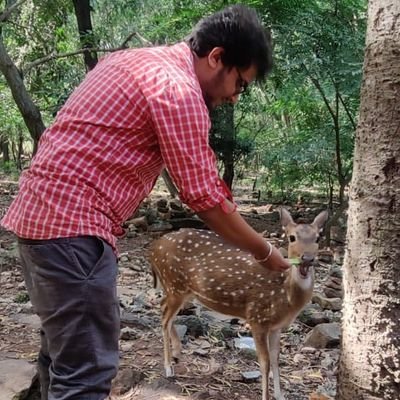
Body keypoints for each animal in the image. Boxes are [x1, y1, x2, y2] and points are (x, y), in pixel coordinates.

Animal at [149, 209, 328, 400]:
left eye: (318, 238)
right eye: (292, 237)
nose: (307, 258)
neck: (286, 297)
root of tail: (154, 247)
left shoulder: (276, 326)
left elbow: (275, 358)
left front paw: (280, 396)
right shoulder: (257, 317)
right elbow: (264, 362)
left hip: (179, 289)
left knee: (162, 306)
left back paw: (177, 353)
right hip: (175, 284)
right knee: (165, 318)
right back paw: (168, 368)